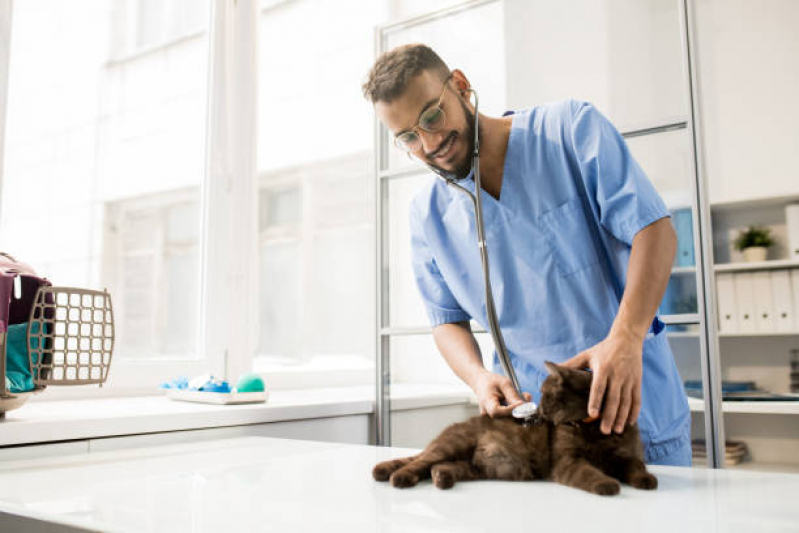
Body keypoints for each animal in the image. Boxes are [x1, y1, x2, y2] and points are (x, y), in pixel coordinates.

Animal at [374, 362, 656, 494]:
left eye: (547, 396)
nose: (539, 412)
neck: (593, 429)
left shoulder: (628, 454)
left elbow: (636, 467)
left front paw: (646, 480)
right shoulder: (567, 461)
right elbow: (589, 473)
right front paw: (607, 485)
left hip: (476, 466)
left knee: (438, 467)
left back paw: (442, 479)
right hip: (454, 444)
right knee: (419, 462)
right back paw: (398, 477)